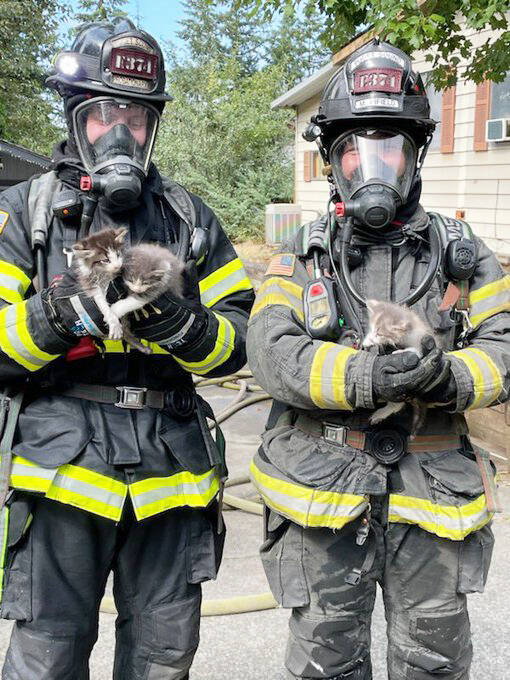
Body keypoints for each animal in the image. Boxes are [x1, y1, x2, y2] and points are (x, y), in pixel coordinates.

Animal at [362, 298, 434, 436]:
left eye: (379, 333)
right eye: (372, 329)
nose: (372, 337)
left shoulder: (421, 339)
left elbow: (417, 352)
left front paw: (400, 352)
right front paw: (367, 340)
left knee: (397, 404)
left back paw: (380, 413)